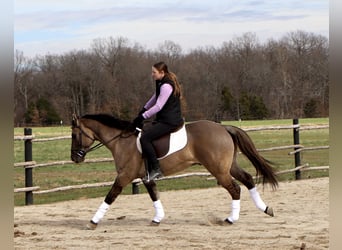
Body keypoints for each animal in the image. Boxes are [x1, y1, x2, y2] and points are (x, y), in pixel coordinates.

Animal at [70, 114, 278, 229]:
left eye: (74, 134)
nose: (75, 158)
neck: (122, 141)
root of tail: (223, 127)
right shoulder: (145, 177)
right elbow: (154, 195)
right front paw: (157, 219)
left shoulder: (124, 176)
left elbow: (110, 196)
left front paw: (92, 222)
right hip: (228, 167)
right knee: (248, 179)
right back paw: (265, 209)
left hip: (219, 170)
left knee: (235, 189)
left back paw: (230, 219)